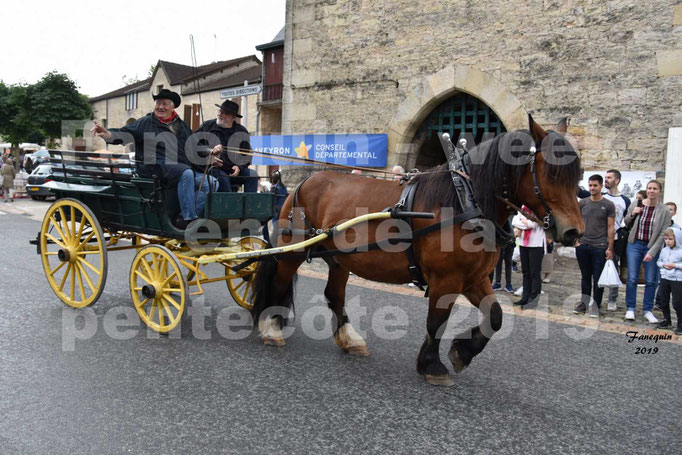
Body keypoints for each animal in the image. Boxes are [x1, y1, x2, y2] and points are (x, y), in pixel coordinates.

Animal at [252, 116, 580, 386]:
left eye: (576, 176)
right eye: (551, 174)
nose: (573, 232)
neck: (464, 200)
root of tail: (305, 181)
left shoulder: (474, 278)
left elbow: (495, 316)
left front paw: (462, 351)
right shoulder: (447, 279)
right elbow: (437, 321)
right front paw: (432, 365)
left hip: (338, 259)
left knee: (334, 296)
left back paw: (349, 339)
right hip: (293, 250)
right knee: (280, 282)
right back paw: (271, 328)